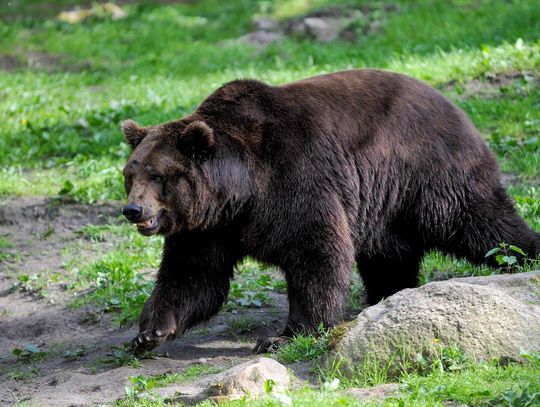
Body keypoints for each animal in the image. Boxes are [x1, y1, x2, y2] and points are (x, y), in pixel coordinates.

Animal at [122, 69, 540, 354]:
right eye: (130, 172)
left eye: (157, 174)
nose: (132, 209)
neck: (239, 192)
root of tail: (455, 106)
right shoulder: (209, 228)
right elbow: (193, 276)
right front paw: (150, 332)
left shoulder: (296, 182)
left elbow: (316, 254)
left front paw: (284, 336)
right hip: (383, 206)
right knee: (389, 255)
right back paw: (386, 296)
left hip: (429, 173)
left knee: (481, 225)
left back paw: (525, 255)